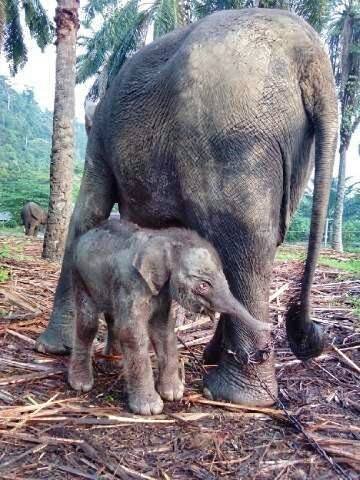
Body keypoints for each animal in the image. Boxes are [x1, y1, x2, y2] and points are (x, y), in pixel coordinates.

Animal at [69, 219, 268, 414]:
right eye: (203, 285)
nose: (269, 328)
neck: (163, 237)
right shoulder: (131, 284)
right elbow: (132, 333)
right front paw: (150, 408)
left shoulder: (161, 292)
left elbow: (163, 330)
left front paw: (173, 393)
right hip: (80, 276)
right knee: (88, 323)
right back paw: (81, 383)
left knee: (112, 318)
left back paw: (114, 363)